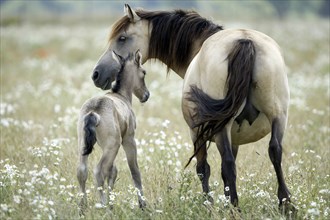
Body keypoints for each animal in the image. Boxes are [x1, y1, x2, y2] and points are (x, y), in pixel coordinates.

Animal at [76, 50, 149, 210]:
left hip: (84, 144)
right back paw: (103, 206)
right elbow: (134, 170)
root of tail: (93, 112)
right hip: (113, 145)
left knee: (82, 170)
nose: (146, 95)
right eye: (144, 72)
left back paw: (83, 208)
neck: (121, 96)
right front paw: (142, 205)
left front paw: (112, 203)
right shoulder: (129, 140)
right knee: (99, 170)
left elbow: (113, 171)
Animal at [91, 3, 296, 212]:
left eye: (122, 38)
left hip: (221, 128)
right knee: (274, 151)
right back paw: (285, 203)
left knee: (227, 163)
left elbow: (203, 169)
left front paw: (209, 204)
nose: (96, 74)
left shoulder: (196, 132)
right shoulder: (235, 137)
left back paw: (234, 207)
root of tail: (245, 40)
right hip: (278, 117)